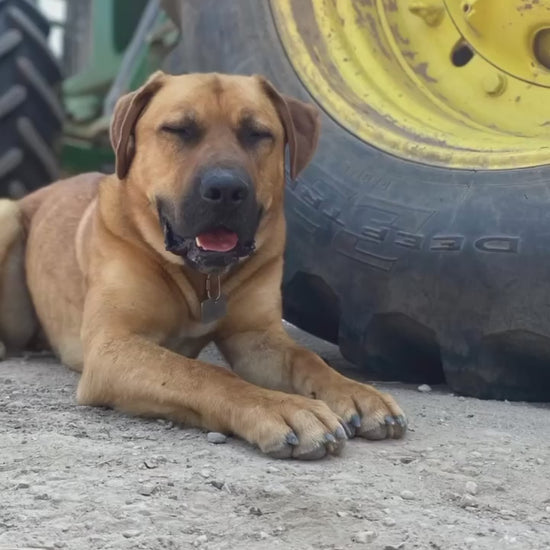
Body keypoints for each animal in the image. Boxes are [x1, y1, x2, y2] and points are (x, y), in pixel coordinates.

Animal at [0, 73, 406, 462]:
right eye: (178, 129)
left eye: (258, 133)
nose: (226, 190)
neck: (202, 279)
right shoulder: (112, 346)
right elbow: (204, 373)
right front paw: (283, 407)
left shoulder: (257, 338)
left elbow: (308, 359)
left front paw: (355, 391)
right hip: (7, 214)